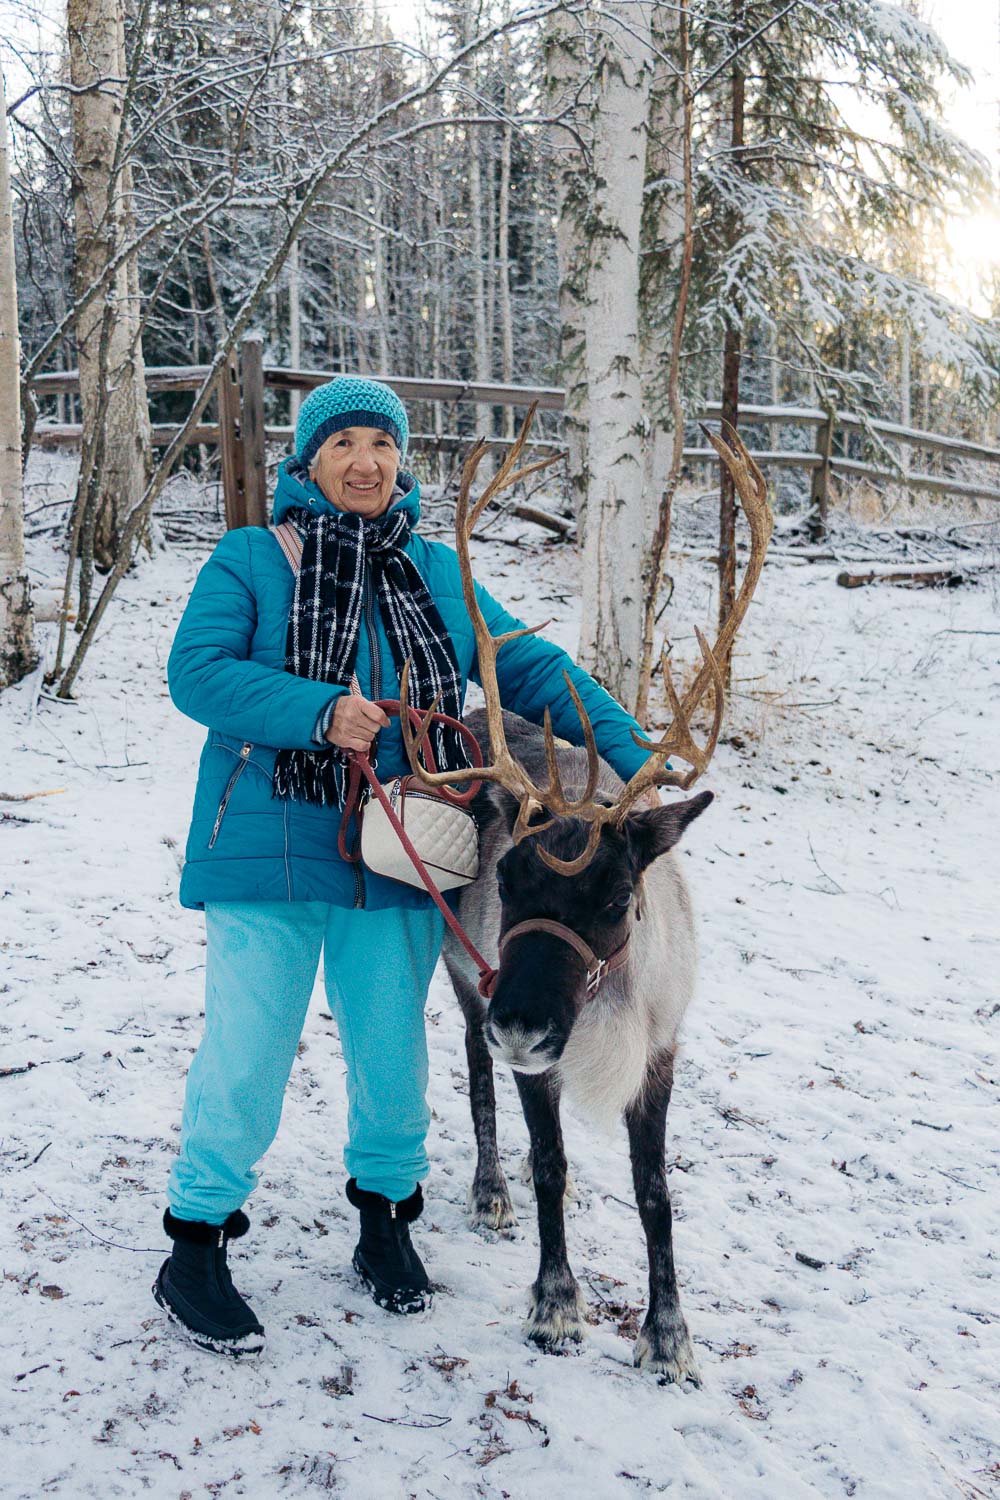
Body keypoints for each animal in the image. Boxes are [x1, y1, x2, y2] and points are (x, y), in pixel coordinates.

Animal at [398, 411, 772, 1385]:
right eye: (507, 879)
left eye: (615, 896)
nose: (524, 1025)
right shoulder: (531, 1046)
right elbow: (550, 1163)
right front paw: (555, 1305)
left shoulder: (664, 1046)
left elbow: (654, 1190)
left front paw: (669, 1333)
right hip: (465, 982)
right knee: (476, 1076)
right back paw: (489, 1189)